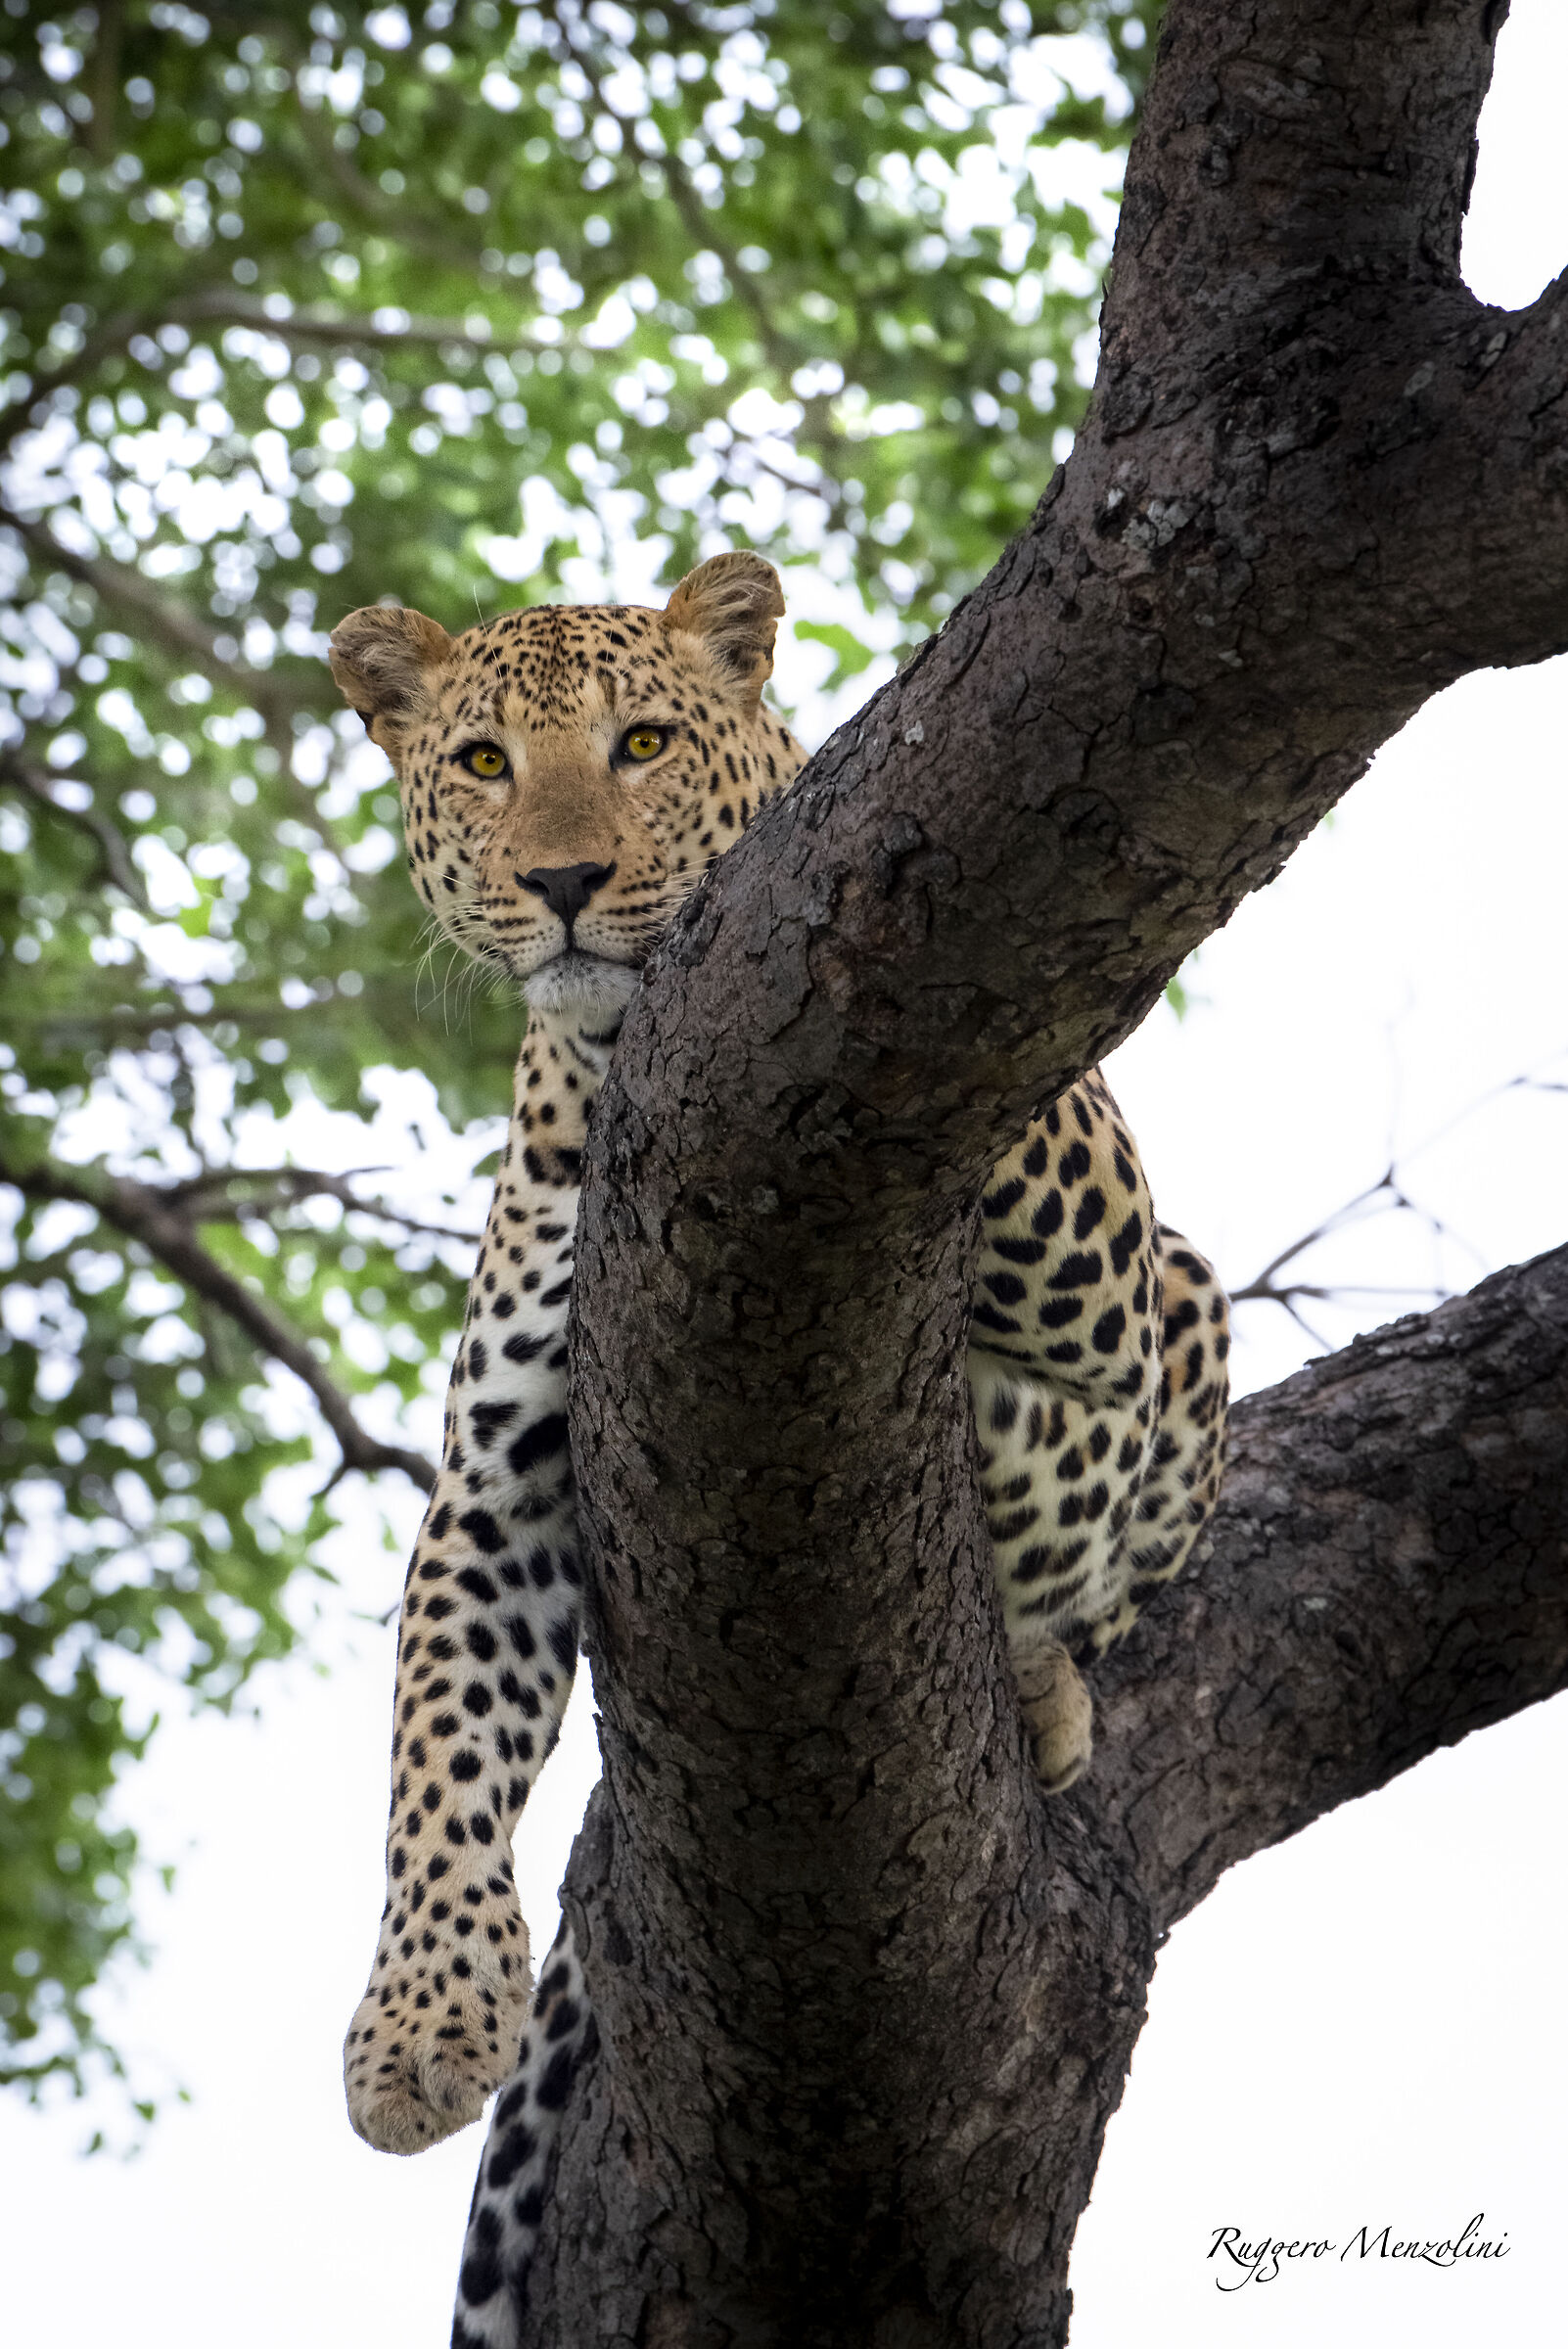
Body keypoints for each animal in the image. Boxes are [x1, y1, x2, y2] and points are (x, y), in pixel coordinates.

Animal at [328, 552, 1229, 2346]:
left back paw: (1041, 1686)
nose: (563, 881)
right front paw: (418, 2023)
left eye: (646, 741)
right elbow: (437, 1751)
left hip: (1193, 1318)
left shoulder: (1108, 1277)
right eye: (480, 765)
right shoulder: (499, 1476)